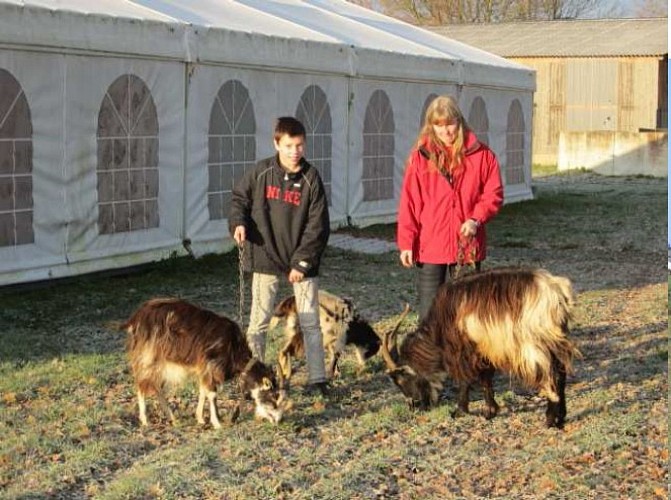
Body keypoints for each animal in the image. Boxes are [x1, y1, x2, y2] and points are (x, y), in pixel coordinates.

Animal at [124, 298, 288, 428]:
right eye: (274, 397)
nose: (279, 421)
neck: (233, 347)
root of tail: (135, 319)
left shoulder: (204, 368)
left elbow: (203, 390)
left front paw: (200, 418)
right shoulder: (211, 365)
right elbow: (212, 393)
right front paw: (217, 423)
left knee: (156, 387)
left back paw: (173, 418)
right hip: (149, 358)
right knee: (142, 385)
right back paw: (145, 420)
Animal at [380, 268, 580, 428]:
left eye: (401, 380)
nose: (414, 406)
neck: (440, 324)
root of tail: (556, 292)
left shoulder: (464, 350)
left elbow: (466, 379)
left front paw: (461, 410)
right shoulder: (484, 349)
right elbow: (486, 378)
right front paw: (491, 411)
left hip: (534, 344)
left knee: (551, 376)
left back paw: (550, 419)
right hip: (555, 340)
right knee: (561, 373)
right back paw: (561, 418)